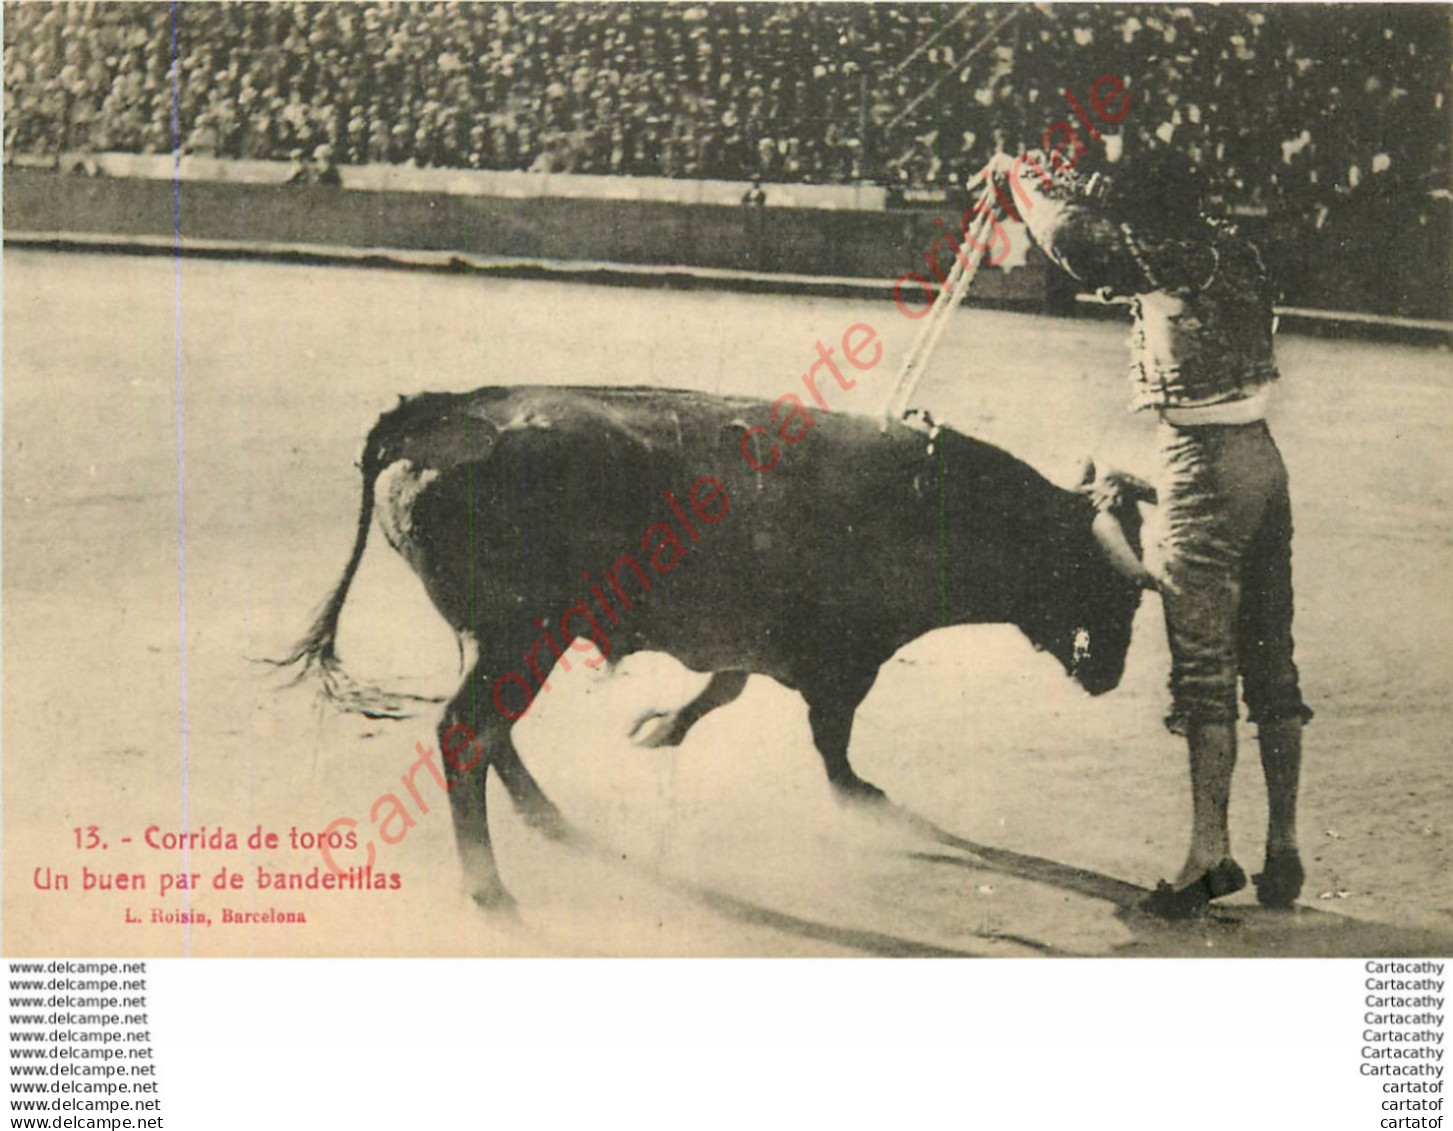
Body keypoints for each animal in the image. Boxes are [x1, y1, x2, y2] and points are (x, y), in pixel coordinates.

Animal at [277, 386, 1150, 907]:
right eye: (1115, 586)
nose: (1109, 674)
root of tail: (434, 414)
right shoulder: (845, 662)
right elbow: (832, 747)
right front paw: (871, 803)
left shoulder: (762, 640)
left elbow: (726, 688)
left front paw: (659, 727)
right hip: (520, 631)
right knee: (468, 730)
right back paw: (490, 887)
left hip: (502, 635)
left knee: (488, 729)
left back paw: (544, 819)